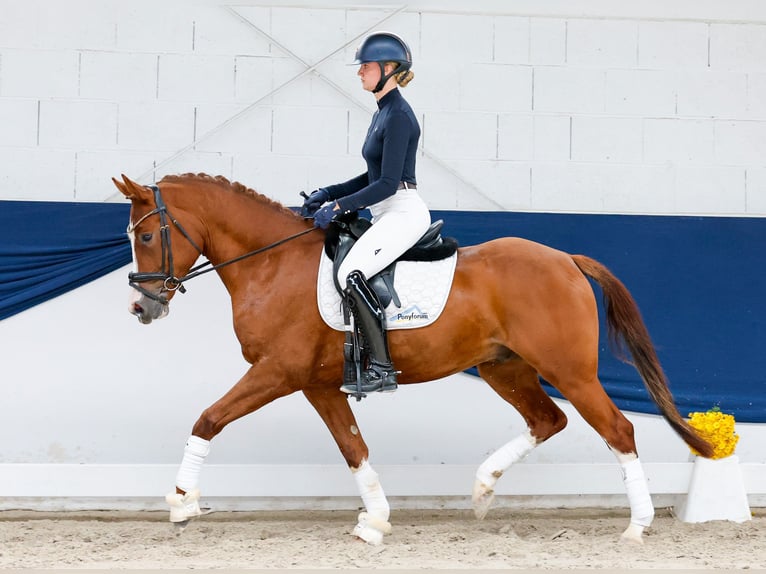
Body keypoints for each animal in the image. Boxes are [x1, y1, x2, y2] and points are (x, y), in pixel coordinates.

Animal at [112, 172, 713, 545]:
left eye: (148, 235)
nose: (143, 306)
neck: (271, 264)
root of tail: (566, 258)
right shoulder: (316, 383)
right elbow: (353, 447)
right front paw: (375, 522)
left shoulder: (277, 372)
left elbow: (208, 418)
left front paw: (181, 502)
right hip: (504, 366)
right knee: (548, 420)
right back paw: (482, 489)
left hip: (570, 371)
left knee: (617, 430)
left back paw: (637, 526)